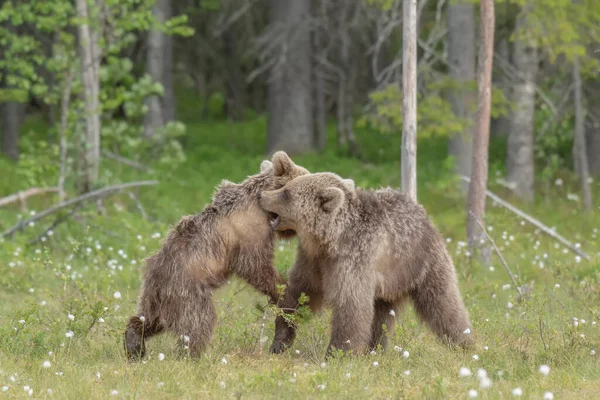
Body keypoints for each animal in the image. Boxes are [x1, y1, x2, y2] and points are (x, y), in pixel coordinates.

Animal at [123, 152, 308, 358]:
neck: (264, 208)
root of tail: (157, 279)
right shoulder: (250, 233)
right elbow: (256, 267)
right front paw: (283, 291)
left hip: (155, 298)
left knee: (149, 320)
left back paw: (134, 344)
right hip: (188, 294)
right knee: (199, 323)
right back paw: (193, 355)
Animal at [258, 172, 474, 356]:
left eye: (286, 193)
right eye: (285, 187)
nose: (261, 195)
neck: (330, 240)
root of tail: (423, 211)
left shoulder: (354, 260)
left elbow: (350, 305)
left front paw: (338, 353)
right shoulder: (312, 260)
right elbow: (299, 293)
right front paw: (279, 342)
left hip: (422, 263)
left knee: (443, 303)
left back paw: (465, 344)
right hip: (389, 283)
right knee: (381, 317)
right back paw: (374, 348)